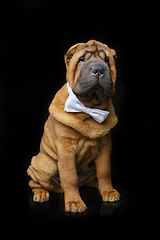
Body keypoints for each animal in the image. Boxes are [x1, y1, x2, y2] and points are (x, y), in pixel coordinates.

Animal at [27, 39, 120, 214]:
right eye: (81, 60)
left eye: (106, 60)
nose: (98, 70)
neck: (89, 109)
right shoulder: (65, 148)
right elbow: (70, 177)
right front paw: (74, 202)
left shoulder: (105, 146)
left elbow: (105, 171)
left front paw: (108, 191)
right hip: (44, 163)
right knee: (35, 182)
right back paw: (41, 193)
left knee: (92, 178)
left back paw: (98, 187)